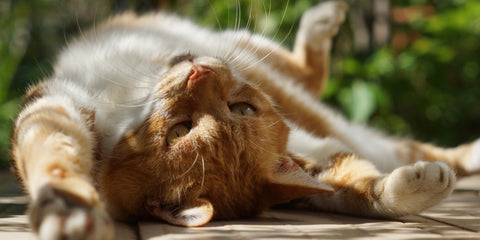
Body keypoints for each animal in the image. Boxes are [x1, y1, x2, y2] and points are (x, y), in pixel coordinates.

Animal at [9, 1, 478, 240]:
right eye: (180, 130)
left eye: (241, 110)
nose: (200, 71)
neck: (130, 100)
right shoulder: (55, 105)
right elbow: (51, 152)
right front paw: (66, 206)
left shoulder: (317, 153)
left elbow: (355, 187)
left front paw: (406, 190)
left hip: (253, 52)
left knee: (313, 79)